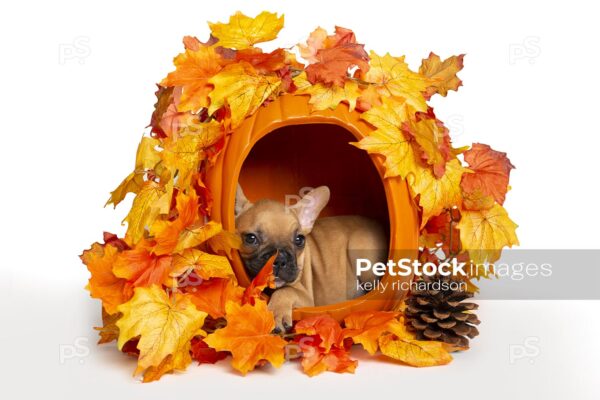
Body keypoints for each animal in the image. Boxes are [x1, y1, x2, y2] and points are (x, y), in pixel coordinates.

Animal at [234, 185, 384, 332]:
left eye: (299, 240)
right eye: (250, 238)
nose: (280, 259)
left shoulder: (307, 299)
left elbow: (286, 290)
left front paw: (276, 314)